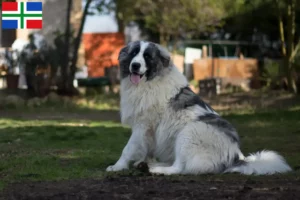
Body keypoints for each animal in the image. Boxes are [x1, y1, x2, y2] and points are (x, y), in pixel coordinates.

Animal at [106, 41, 292, 175]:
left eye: (147, 56)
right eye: (133, 54)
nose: (135, 65)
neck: (151, 80)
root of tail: (237, 156)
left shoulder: (142, 125)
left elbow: (128, 148)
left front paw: (117, 166)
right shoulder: (148, 130)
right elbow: (146, 148)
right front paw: (142, 160)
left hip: (189, 132)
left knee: (179, 168)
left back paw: (157, 169)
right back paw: (149, 164)